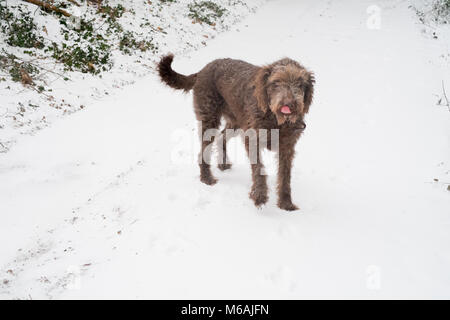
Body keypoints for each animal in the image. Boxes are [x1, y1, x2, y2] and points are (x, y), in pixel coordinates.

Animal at [157, 54, 312, 211]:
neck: (274, 118)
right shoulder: (253, 139)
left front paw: (286, 203)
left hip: (236, 121)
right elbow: (259, 169)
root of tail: (202, 70)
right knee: (204, 150)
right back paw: (206, 178)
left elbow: (285, 176)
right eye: (276, 82)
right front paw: (259, 196)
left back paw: (223, 163)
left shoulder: (287, 147)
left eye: (300, 84)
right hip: (209, 119)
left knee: (221, 138)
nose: (289, 104)